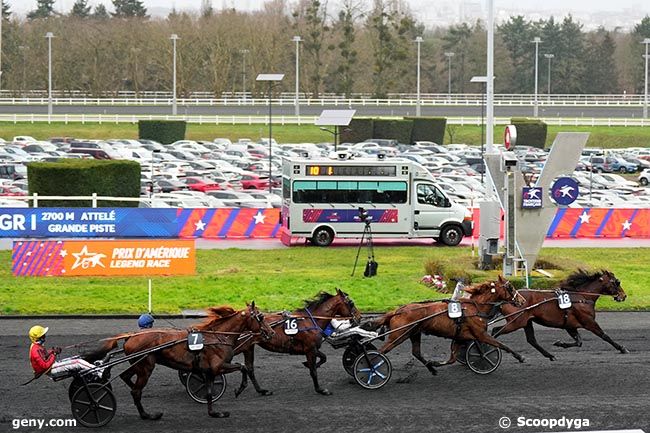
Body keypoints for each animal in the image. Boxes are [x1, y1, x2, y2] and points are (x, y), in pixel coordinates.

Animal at [87, 300, 272, 418]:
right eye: (261, 317)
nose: (271, 332)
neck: (219, 336)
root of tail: (131, 336)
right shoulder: (218, 366)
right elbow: (242, 366)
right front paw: (239, 389)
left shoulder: (209, 371)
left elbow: (210, 392)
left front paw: (214, 413)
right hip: (145, 367)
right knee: (136, 391)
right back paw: (147, 415)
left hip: (139, 364)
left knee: (126, 377)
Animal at [362, 276, 524, 374]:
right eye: (510, 287)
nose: (522, 301)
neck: (474, 308)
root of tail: (397, 311)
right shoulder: (480, 334)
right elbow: (501, 345)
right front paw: (519, 357)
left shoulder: (460, 336)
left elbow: (452, 357)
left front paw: (435, 363)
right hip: (398, 335)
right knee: (381, 352)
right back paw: (370, 368)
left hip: (414, 333)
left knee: (416, 352)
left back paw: (431, 368)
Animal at [492, 268, 628, 360]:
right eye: (616, 282)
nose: (624, 296)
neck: (582, 297)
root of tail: (506, 300)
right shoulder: (589, 322)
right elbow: (605, 336)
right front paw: (622, 348)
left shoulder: (570, 325)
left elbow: (579, 342)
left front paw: (560, 343)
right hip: (516, 322)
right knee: (495, 331)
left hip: (526, 321)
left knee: (531, 340)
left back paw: (550, 355)